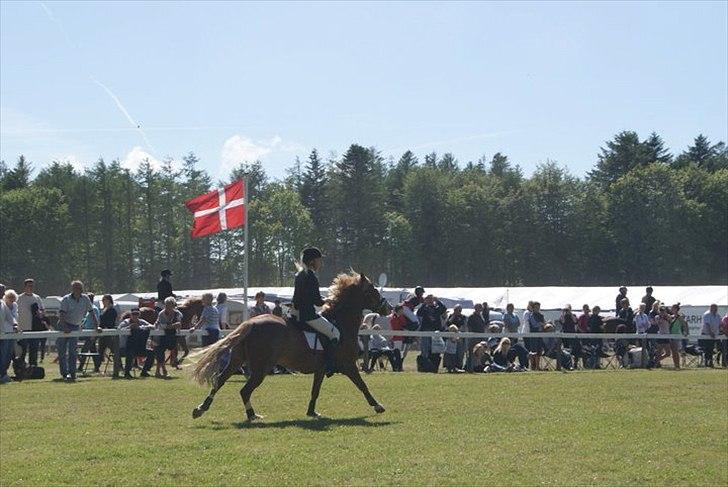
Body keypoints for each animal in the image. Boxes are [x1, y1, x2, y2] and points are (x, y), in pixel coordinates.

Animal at [192, 272, 386, 422]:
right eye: (372, 290)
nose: (388, 308)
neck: (341, 323)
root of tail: (251, 323)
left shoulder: (320, 369)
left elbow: (315, 391)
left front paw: (312, 412)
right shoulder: (348, 365)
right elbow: (362, 385)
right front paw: (377, 406)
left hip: (237, 360)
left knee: (220, 381)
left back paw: (201, 408)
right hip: (261, 368)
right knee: (244, 391)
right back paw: (252, 415)